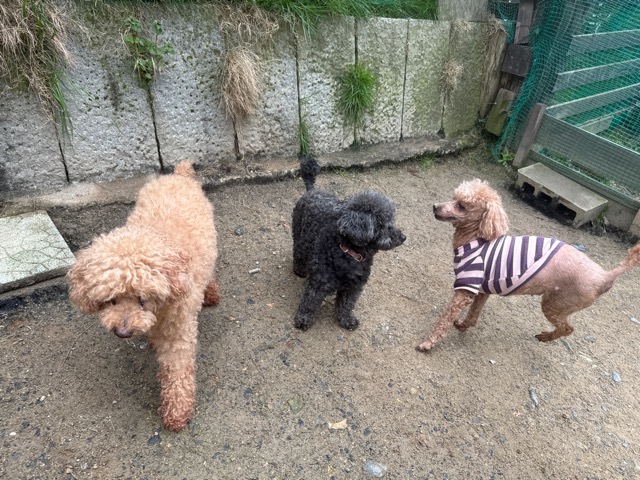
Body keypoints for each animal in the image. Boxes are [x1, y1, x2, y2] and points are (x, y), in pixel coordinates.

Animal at [67, 161, 219, 431]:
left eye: (143, 298)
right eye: (110, 299)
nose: (122, 332)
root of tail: (177, 175)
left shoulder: (178, 330)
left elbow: (177, 369)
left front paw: (177, 413)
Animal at [291, 156, 405, 331]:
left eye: (391, 222)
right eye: (385, 225)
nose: (403, 237)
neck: (349, 253)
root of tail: (312, 190)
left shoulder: (354, 286)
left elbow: (346, 304)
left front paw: (346, 319)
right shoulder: (318, 283)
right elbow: (310, 302)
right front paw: (304, 319)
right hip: (299, 236)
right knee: (298, 252)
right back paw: (299, 270)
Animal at [417, 178, 640, 351]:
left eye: (461, 205)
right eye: (454, 197)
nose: (435, 206)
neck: (476, 237)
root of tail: (606, 275)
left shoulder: (465, 289)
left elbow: (444, 320)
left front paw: (428, 343)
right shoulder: (482, 291)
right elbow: (473, 316)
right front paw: (463, 325)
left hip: (555, 303)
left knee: (567, 329)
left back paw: (546, 337)